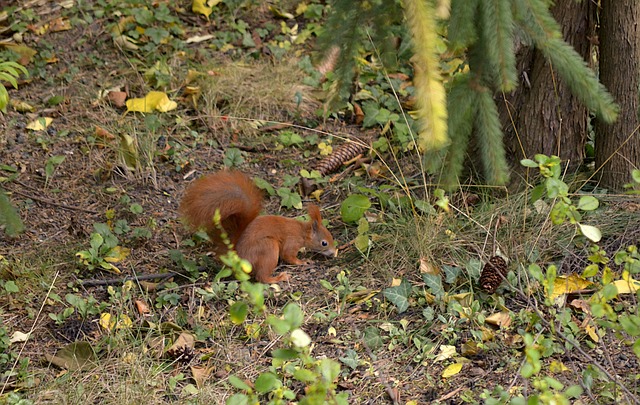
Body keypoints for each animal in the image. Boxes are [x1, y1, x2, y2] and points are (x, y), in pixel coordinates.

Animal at [176, 170, 332, 280]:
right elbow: (288, 256)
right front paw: (303, 261)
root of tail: (237, 257)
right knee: (261, 277)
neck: (302, 231)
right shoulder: (292, 242)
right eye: (324, 243)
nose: (334, 253)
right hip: (268, 248)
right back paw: (278, 278)